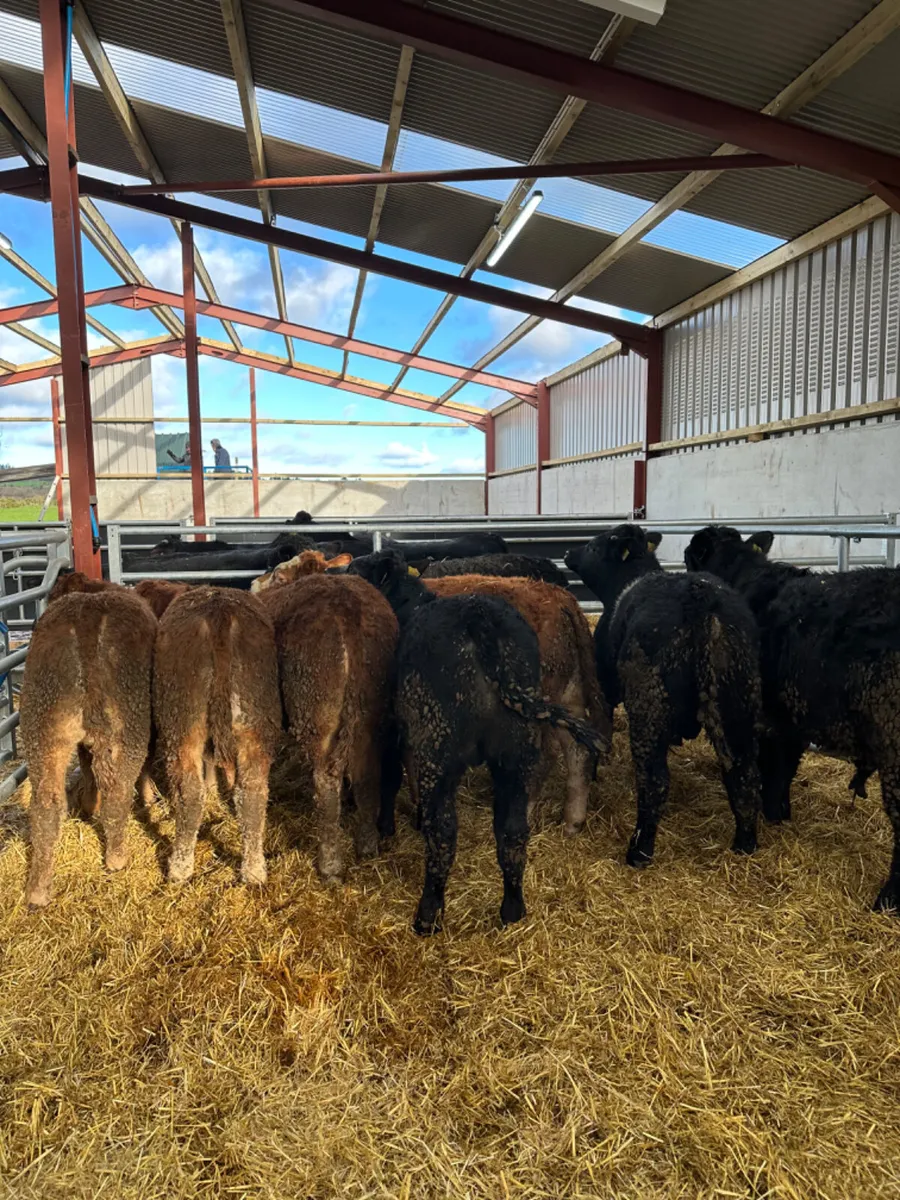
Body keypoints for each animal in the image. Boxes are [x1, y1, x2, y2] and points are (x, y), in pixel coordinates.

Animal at [19, 573, 157, 907]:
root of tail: (84, 619)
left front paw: (86, 805)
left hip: (43, 721)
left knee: (45, 803)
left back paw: (38, 890)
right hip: (127, 722)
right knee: (117, 792)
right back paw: (117, 858)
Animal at [148, 585, 281, 886]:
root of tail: (219, 612)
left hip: (181, 723)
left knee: (189, 793)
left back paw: (179, 868)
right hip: (253, 719)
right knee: (253, 791)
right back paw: (254, 871)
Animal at [257, 574, 398, 883]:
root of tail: (349, 613)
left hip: (319, 712)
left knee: (326, 785)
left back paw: (330, 866)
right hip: (370, 712)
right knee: (367, 776)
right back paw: (367, 845)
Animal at [565, 525, 762, 867]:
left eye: (592, 546)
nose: (566, 552)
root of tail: (699, 599)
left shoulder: (606, 689)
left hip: (650, 706)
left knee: (654, 780)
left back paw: (639, 852)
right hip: (737, 698)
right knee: (742, 771)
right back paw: (744, 844)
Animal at [685, 524, 900, 912]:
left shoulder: (751, 714)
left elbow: (754, 770)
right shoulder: (788, 718)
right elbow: (783, 770)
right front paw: (778, 815)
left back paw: (887, 900)